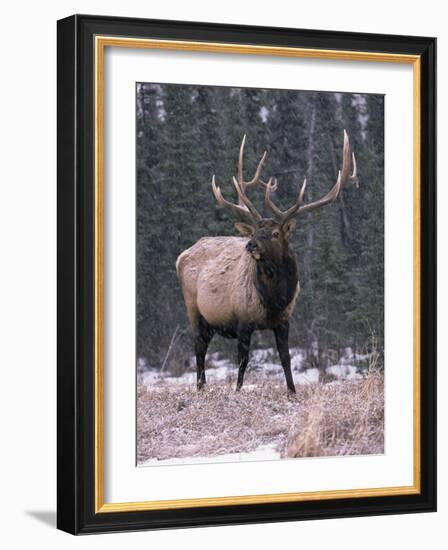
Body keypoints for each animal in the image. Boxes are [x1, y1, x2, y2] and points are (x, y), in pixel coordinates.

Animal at [175, 132, 356, 394]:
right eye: (255, 231)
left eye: (275, 233)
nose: (250, 245)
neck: (275, 299)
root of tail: (181, 256)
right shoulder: (243, 320)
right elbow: (243, 360)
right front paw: (238, 391)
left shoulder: (284, 320)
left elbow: (285, 358)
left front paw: (292, 392)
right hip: (194, 309)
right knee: (199, 348)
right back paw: (200, 388)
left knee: (203, 346)